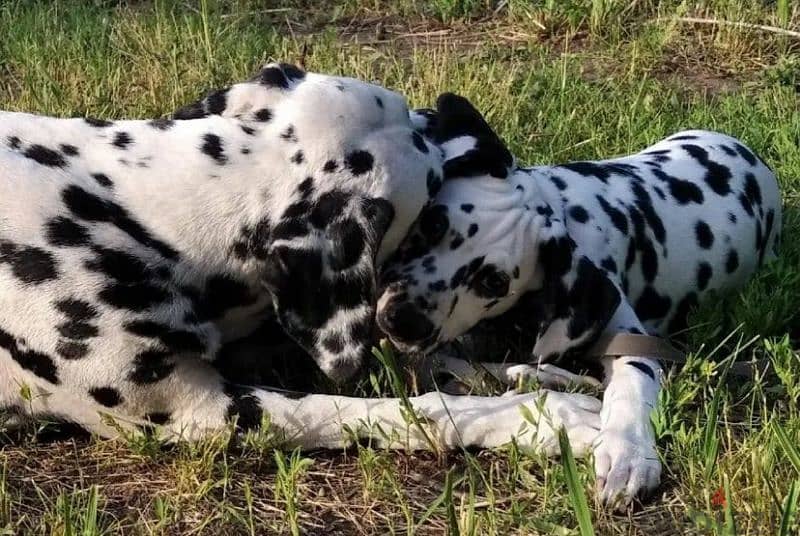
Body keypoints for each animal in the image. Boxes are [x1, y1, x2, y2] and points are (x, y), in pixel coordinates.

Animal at [0, 65, 600, 454]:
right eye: (430, 168)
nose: (458, 115)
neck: (135, 208)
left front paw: (542, 377)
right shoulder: (202, 410)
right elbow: (412, 410)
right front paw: (550, 421)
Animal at [380, 93, 780, 506]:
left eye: (495, 282)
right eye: (434, 223)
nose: (403, 320)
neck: (565, 210)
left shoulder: (628, 336)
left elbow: (630, 383)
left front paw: (627, 453)